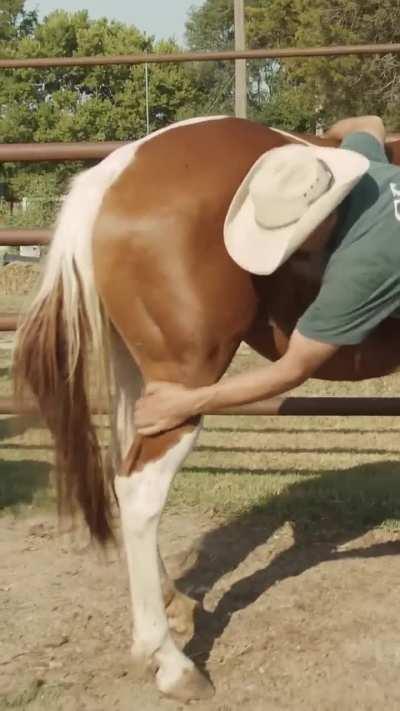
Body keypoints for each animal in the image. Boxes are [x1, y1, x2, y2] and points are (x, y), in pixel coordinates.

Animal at [13, 116, 400, 702]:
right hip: (183, 377)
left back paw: (172, 607)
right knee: (140, 490)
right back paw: (170, 663)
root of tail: (114, 173)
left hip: (138, 376)